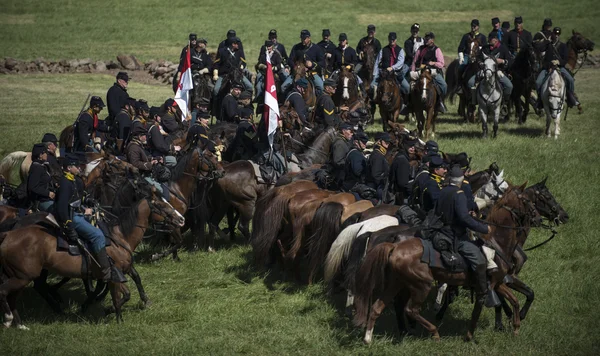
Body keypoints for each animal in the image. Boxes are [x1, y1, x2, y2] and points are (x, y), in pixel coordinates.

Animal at [354, 184, 540, 342]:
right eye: (527, 200)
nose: (536, 217)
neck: (496, 242)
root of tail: (395, 245)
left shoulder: (499, 282)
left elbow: (515, 300)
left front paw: (516, 327)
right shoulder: (489, 286)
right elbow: (481, 308)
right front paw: (469, 336)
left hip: (397, 283)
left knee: (379, 306)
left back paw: (370, 337)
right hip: (421, 285)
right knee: (410, 309)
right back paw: (432, 332)